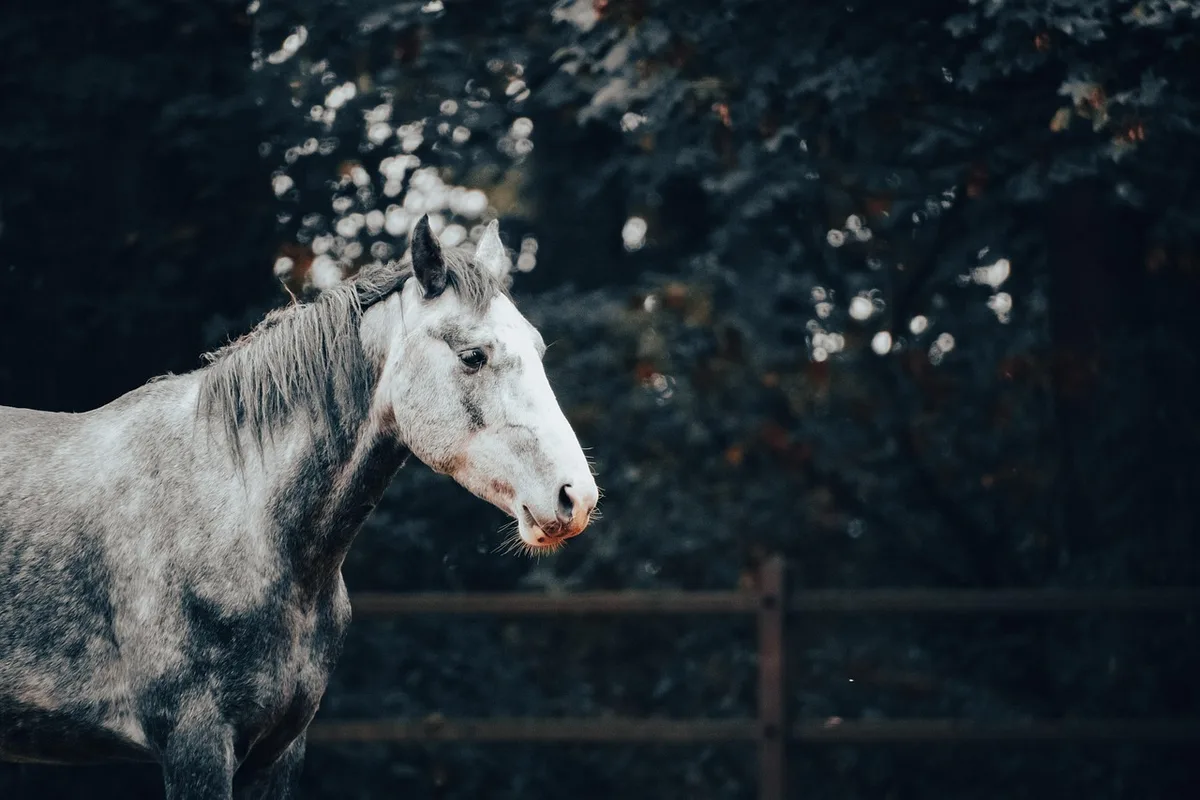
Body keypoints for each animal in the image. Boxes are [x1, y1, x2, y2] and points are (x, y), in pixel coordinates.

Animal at [0, 214, 599, 798]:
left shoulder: (279, 752)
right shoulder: (196, 743)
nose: (576, 497)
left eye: (538, 350)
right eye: (474, 356)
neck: (238, 517)